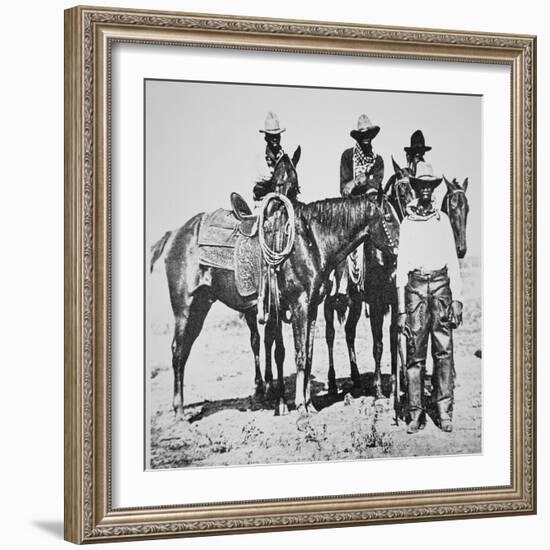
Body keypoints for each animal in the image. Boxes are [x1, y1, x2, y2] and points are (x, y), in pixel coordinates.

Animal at [151, 181, 402, 418]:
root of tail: (174, 234)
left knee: (184, 351)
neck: (312, 240)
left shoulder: (312, 308)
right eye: (388, 218)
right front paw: (300, 406)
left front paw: (309, 404)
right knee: (177, 351)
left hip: (201, 305)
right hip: (184, 307)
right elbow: (299, 354)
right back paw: (179, 411)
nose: (396, 256)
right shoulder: (299, 305)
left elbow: (308, 355)